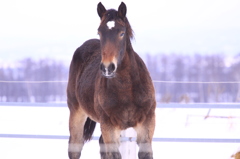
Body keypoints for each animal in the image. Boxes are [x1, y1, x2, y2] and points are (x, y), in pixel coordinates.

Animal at [66, 1, 156, 158]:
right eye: (100, 32)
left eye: (122, 33)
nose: (107, 68)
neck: (127, 90)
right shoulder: (109, 126)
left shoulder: (146, 126)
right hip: (76, 111)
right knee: (75, 146)